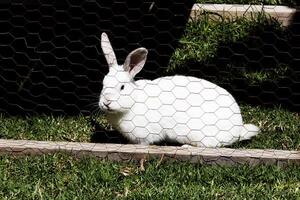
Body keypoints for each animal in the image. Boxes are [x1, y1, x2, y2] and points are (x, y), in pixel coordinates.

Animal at [98, 32, 258, 147]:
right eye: (103, 84)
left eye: (122, 87)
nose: (106, 102)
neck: (133, 102)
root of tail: (237, 129)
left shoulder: (145, 135)